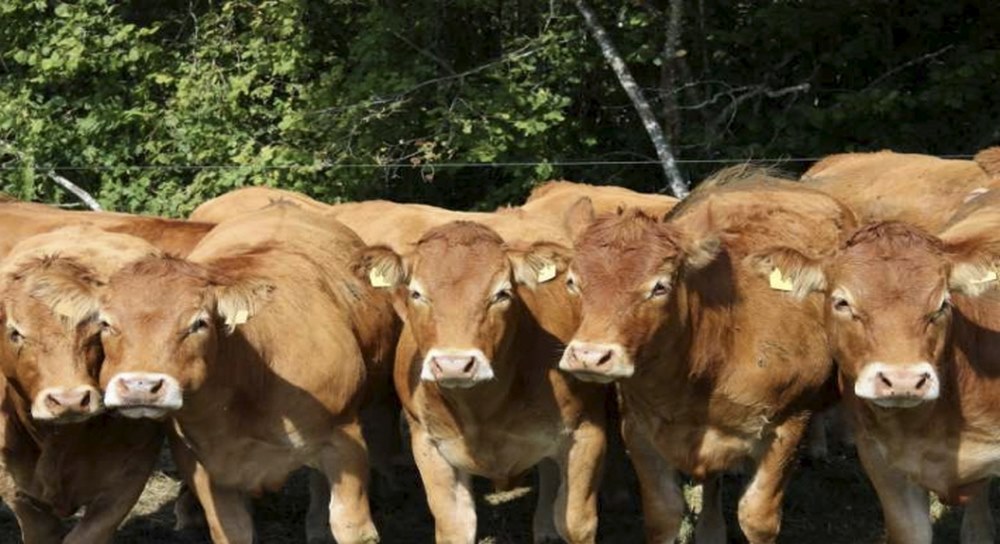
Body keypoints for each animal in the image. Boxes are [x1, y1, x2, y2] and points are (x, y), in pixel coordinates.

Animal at [85, 204, 398, 544]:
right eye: (105, 323)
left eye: (199, 323)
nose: (140, 386)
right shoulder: (202, 466)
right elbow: (233, 530)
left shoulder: (345, 441)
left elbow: (352, 527)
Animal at [357, 220, 607, 543]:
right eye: (416, 294)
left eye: (502, 293)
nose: (454, 364)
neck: (483, 410)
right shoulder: (428, 446)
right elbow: (455, 526)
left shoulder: (587, 432)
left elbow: (575, 523)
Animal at [557, 170, 857, 543]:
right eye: (573, 282)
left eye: (660, 286)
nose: (590, 355)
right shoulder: (639, 430)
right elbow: (663, 515)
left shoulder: (789, 423)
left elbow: (757, 518)